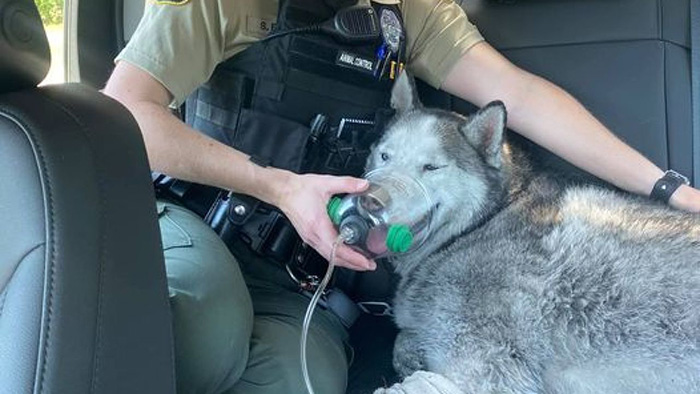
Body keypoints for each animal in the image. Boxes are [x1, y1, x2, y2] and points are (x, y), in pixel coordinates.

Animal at [370, 71, 696, 394]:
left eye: (431, 167)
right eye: (385, 156)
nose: (369, 200)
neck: (479, 224)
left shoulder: (488, 366)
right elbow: (405, 337)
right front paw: (409, 349)